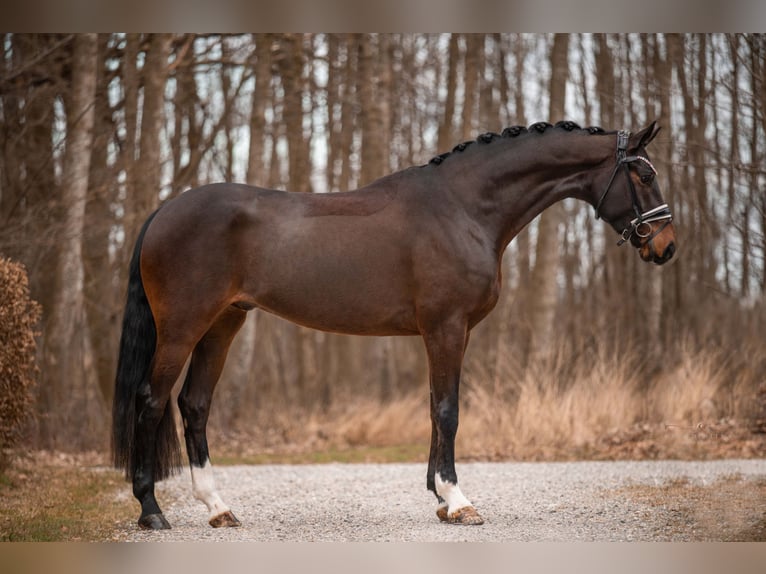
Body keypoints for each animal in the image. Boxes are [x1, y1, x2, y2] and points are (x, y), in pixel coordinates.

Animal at [112, 120, 680, 532]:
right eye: (644, 175)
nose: (666, 246)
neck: (463, 208)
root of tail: (164, 211)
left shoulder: (448, 332)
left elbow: (433, 409)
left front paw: (439, 499)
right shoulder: (446, 327)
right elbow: (448, 411)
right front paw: (458, 500)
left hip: (223, 324)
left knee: (195, 405)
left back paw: (217, 508)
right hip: (182, 328)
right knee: (152, 401)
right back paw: (152, 511)